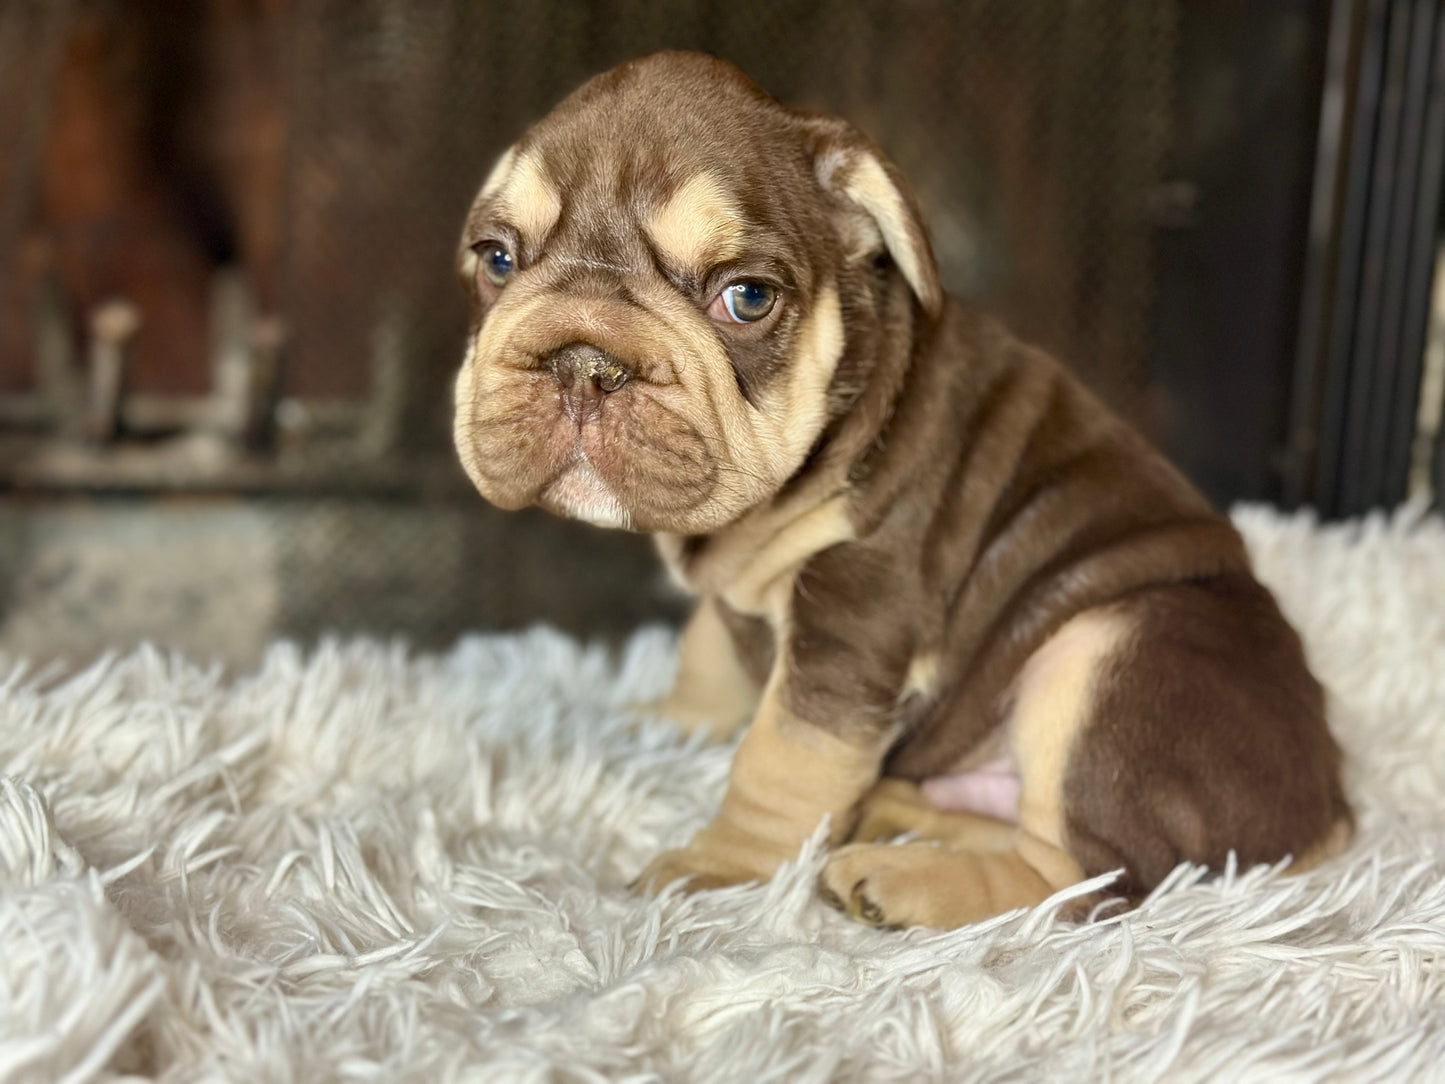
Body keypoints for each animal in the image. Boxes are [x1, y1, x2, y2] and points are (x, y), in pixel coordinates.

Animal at [450, 53, 1352, 936]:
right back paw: (893, 812)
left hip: (1108, 650)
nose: (583, 361)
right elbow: (707, 647)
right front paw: (671, 718)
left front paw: (720, 868)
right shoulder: (735, 593)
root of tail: (1332, 813)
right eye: (496, 260)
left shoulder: (853, 615)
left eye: (746, 298)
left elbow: (782, 752)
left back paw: (904, 879)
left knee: (1083, 877)